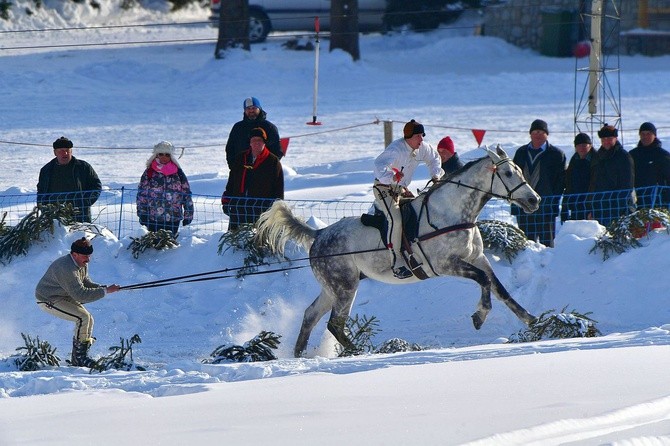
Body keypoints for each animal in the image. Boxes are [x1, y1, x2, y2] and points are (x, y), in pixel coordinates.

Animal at [255, 146, 544, 358]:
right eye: (507, 173)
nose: (535, 200)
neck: (451, 212)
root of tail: (319, 234)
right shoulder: (446, 264)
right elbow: (483, 282)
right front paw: (479, 316)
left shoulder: (477, 258)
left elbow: (500, 289)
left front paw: (533, 321)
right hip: (345, 287)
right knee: (334, 324)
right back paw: (360, 351)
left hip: (332, 288)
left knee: (310, 315)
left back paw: (299, 354)